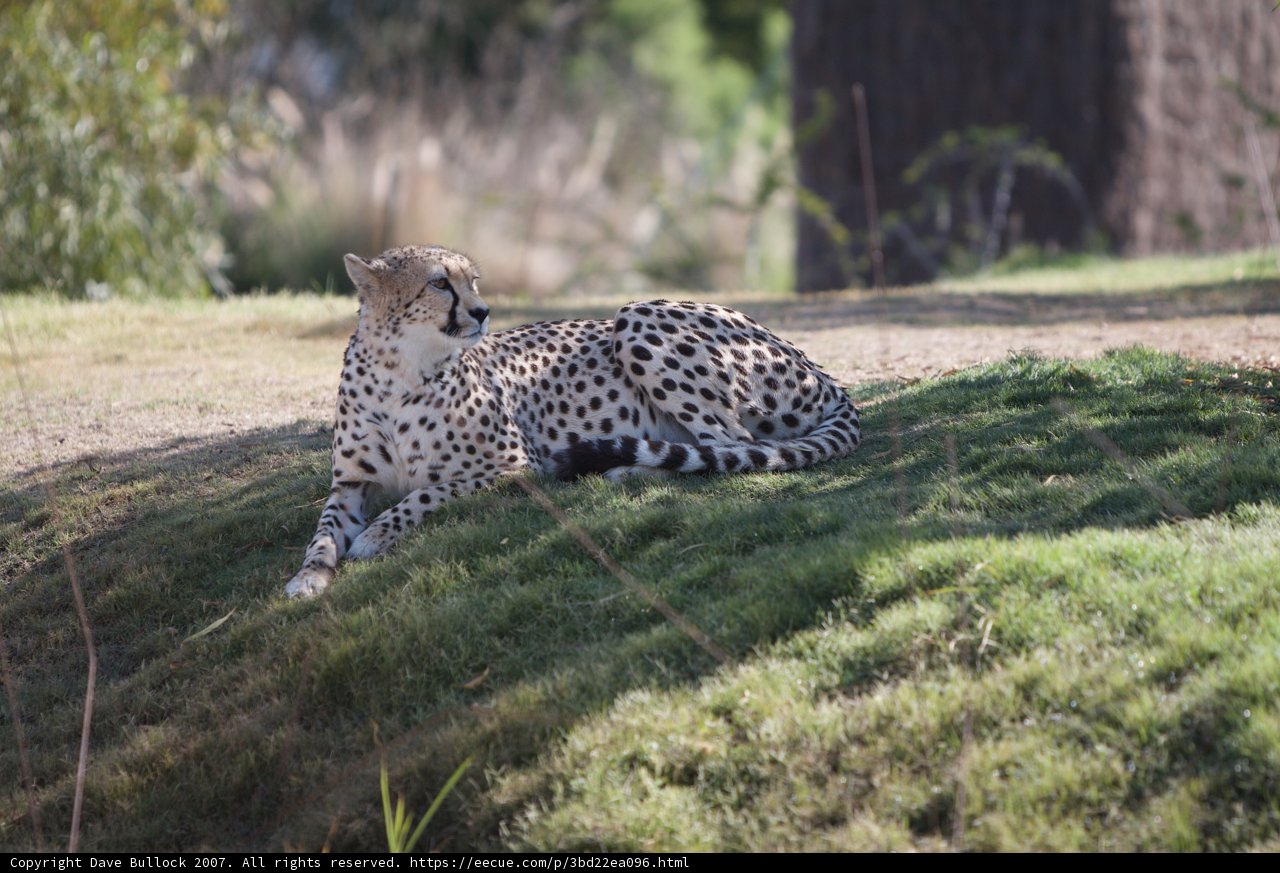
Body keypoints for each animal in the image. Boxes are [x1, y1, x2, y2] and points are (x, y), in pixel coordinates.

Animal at [284, 245, 861, 598]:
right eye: (439, 284)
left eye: (473, 281)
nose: (483, 312)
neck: (400, 369)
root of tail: (816, 366)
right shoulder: (351, 483)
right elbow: (323, 531)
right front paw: (308, 577)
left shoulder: (514, 466)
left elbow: (423, 495)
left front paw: (375, 536)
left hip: (638, 314)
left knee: (731, 446)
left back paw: (627, 470)